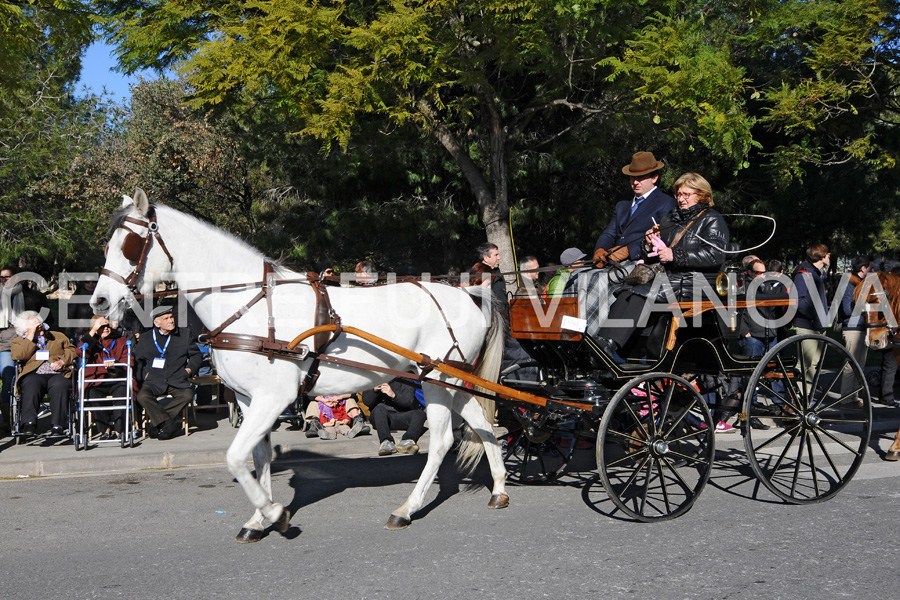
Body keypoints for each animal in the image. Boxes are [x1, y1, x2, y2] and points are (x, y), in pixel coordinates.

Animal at [93, 189, 512, 544]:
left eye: (131, 245)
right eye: (107, 246)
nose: (99, 301)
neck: (250, 304)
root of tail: (467, 293)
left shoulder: (273, 398)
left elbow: (235, 456)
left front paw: (275, 514)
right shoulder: (248, 400)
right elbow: (258, 458)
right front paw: (257, 520)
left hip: (438, 380)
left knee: (442, 440)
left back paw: (406, 509)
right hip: (454, 379)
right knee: (482, 424)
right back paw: (499, 489)